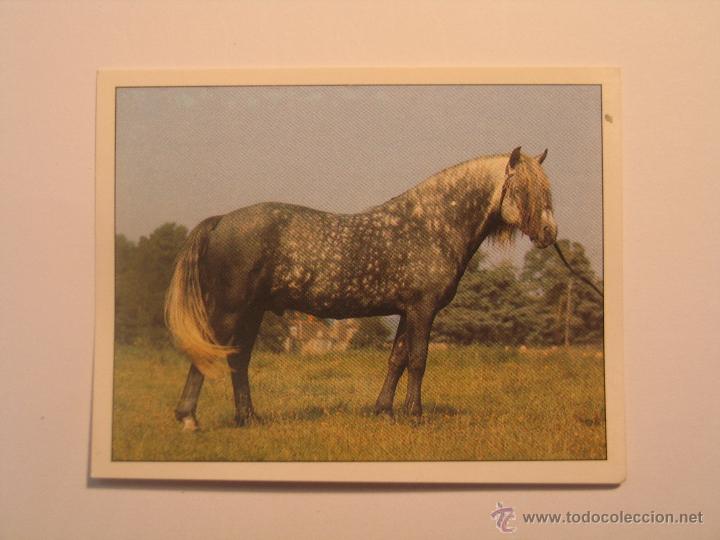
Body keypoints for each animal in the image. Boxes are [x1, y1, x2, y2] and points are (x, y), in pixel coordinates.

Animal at [164, 146, 557, 430]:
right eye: (524, 189)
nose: (550, 234)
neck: (432, 225)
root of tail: (220, 222)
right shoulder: (423, 309)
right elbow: (418, 361)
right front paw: (415, 415)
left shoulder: (407, 311)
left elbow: (397, 359)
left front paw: (385, 411)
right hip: (230, 310)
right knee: (209, 354)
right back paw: (188, 418)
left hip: (252, 312)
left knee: (239, 359)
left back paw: (248, 418)